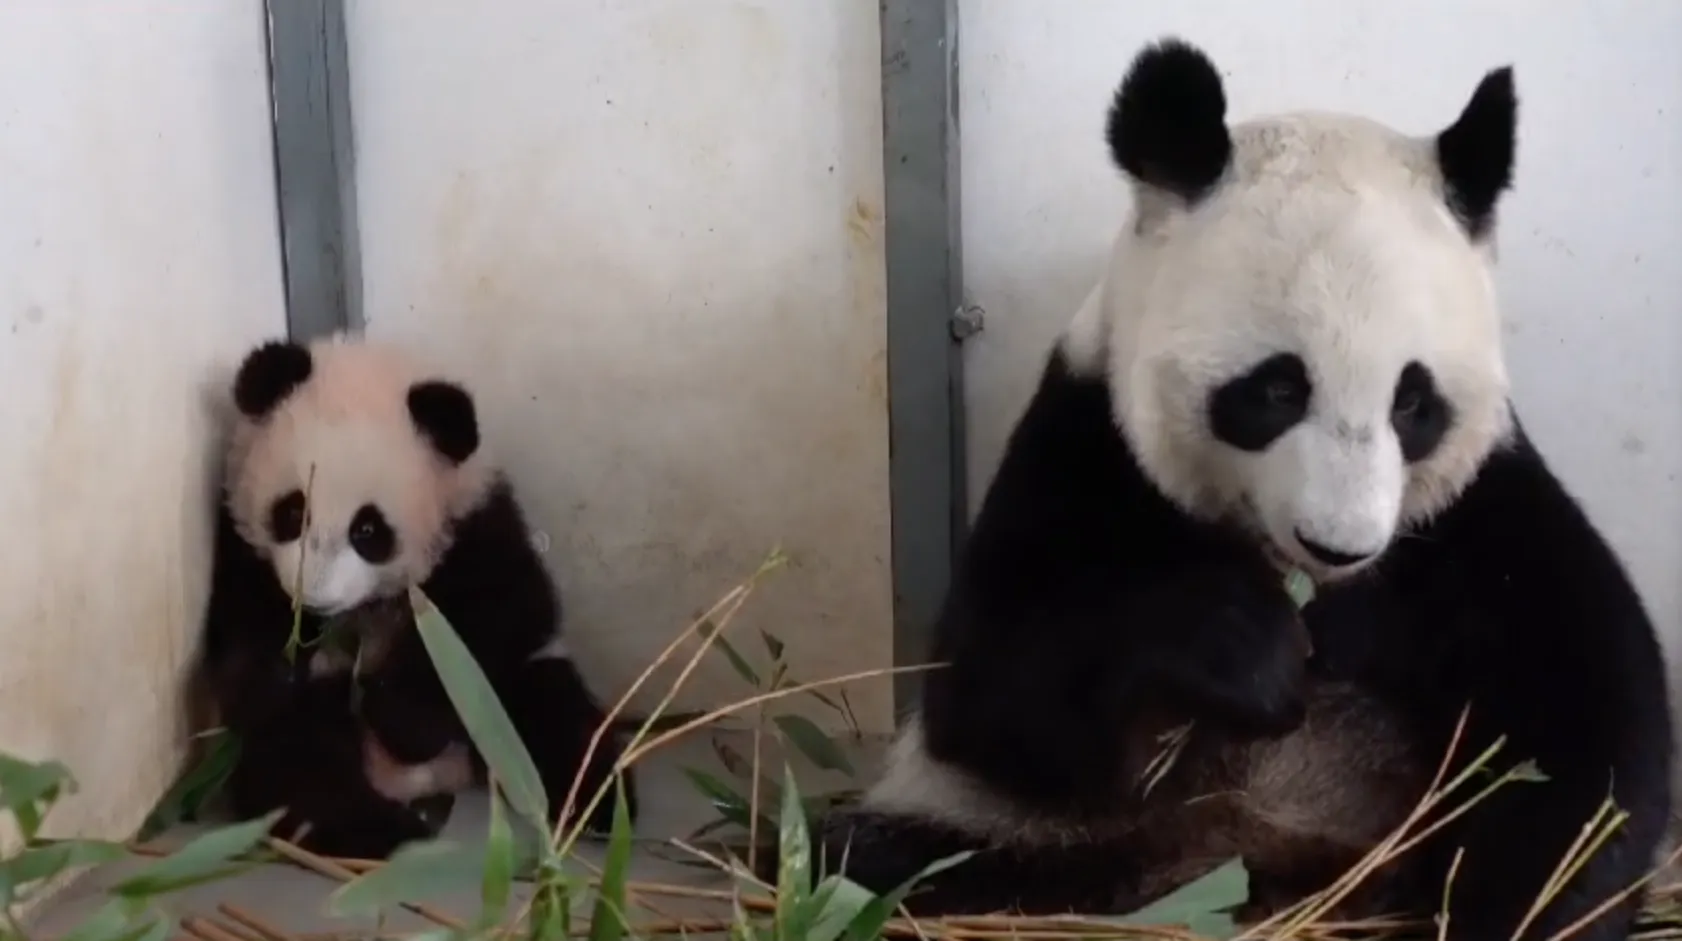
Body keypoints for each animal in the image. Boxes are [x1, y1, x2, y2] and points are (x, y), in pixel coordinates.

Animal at [200, 331, 632, 861]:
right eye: (293, 511)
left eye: (368, 530)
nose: (315, 597)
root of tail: (441, 778)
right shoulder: (243, 553)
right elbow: (244, 643)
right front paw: (279, 671)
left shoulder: (477, 528)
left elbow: (504, 612)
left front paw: (405, 722)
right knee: (300, 768)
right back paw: (388, 833)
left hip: (505, 699)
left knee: (556, 717)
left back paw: (600, 803)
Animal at [793, 34, 1675, 935]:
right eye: (1278, 388)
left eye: (1413, 400)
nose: (1338, 543)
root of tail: (1242, 856)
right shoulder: (1082, 445)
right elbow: (990, 692)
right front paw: (1246, 649)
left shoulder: (1476, 515)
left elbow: (1586, 718)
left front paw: (1526, 903)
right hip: (1028, 828)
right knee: (876, 853)